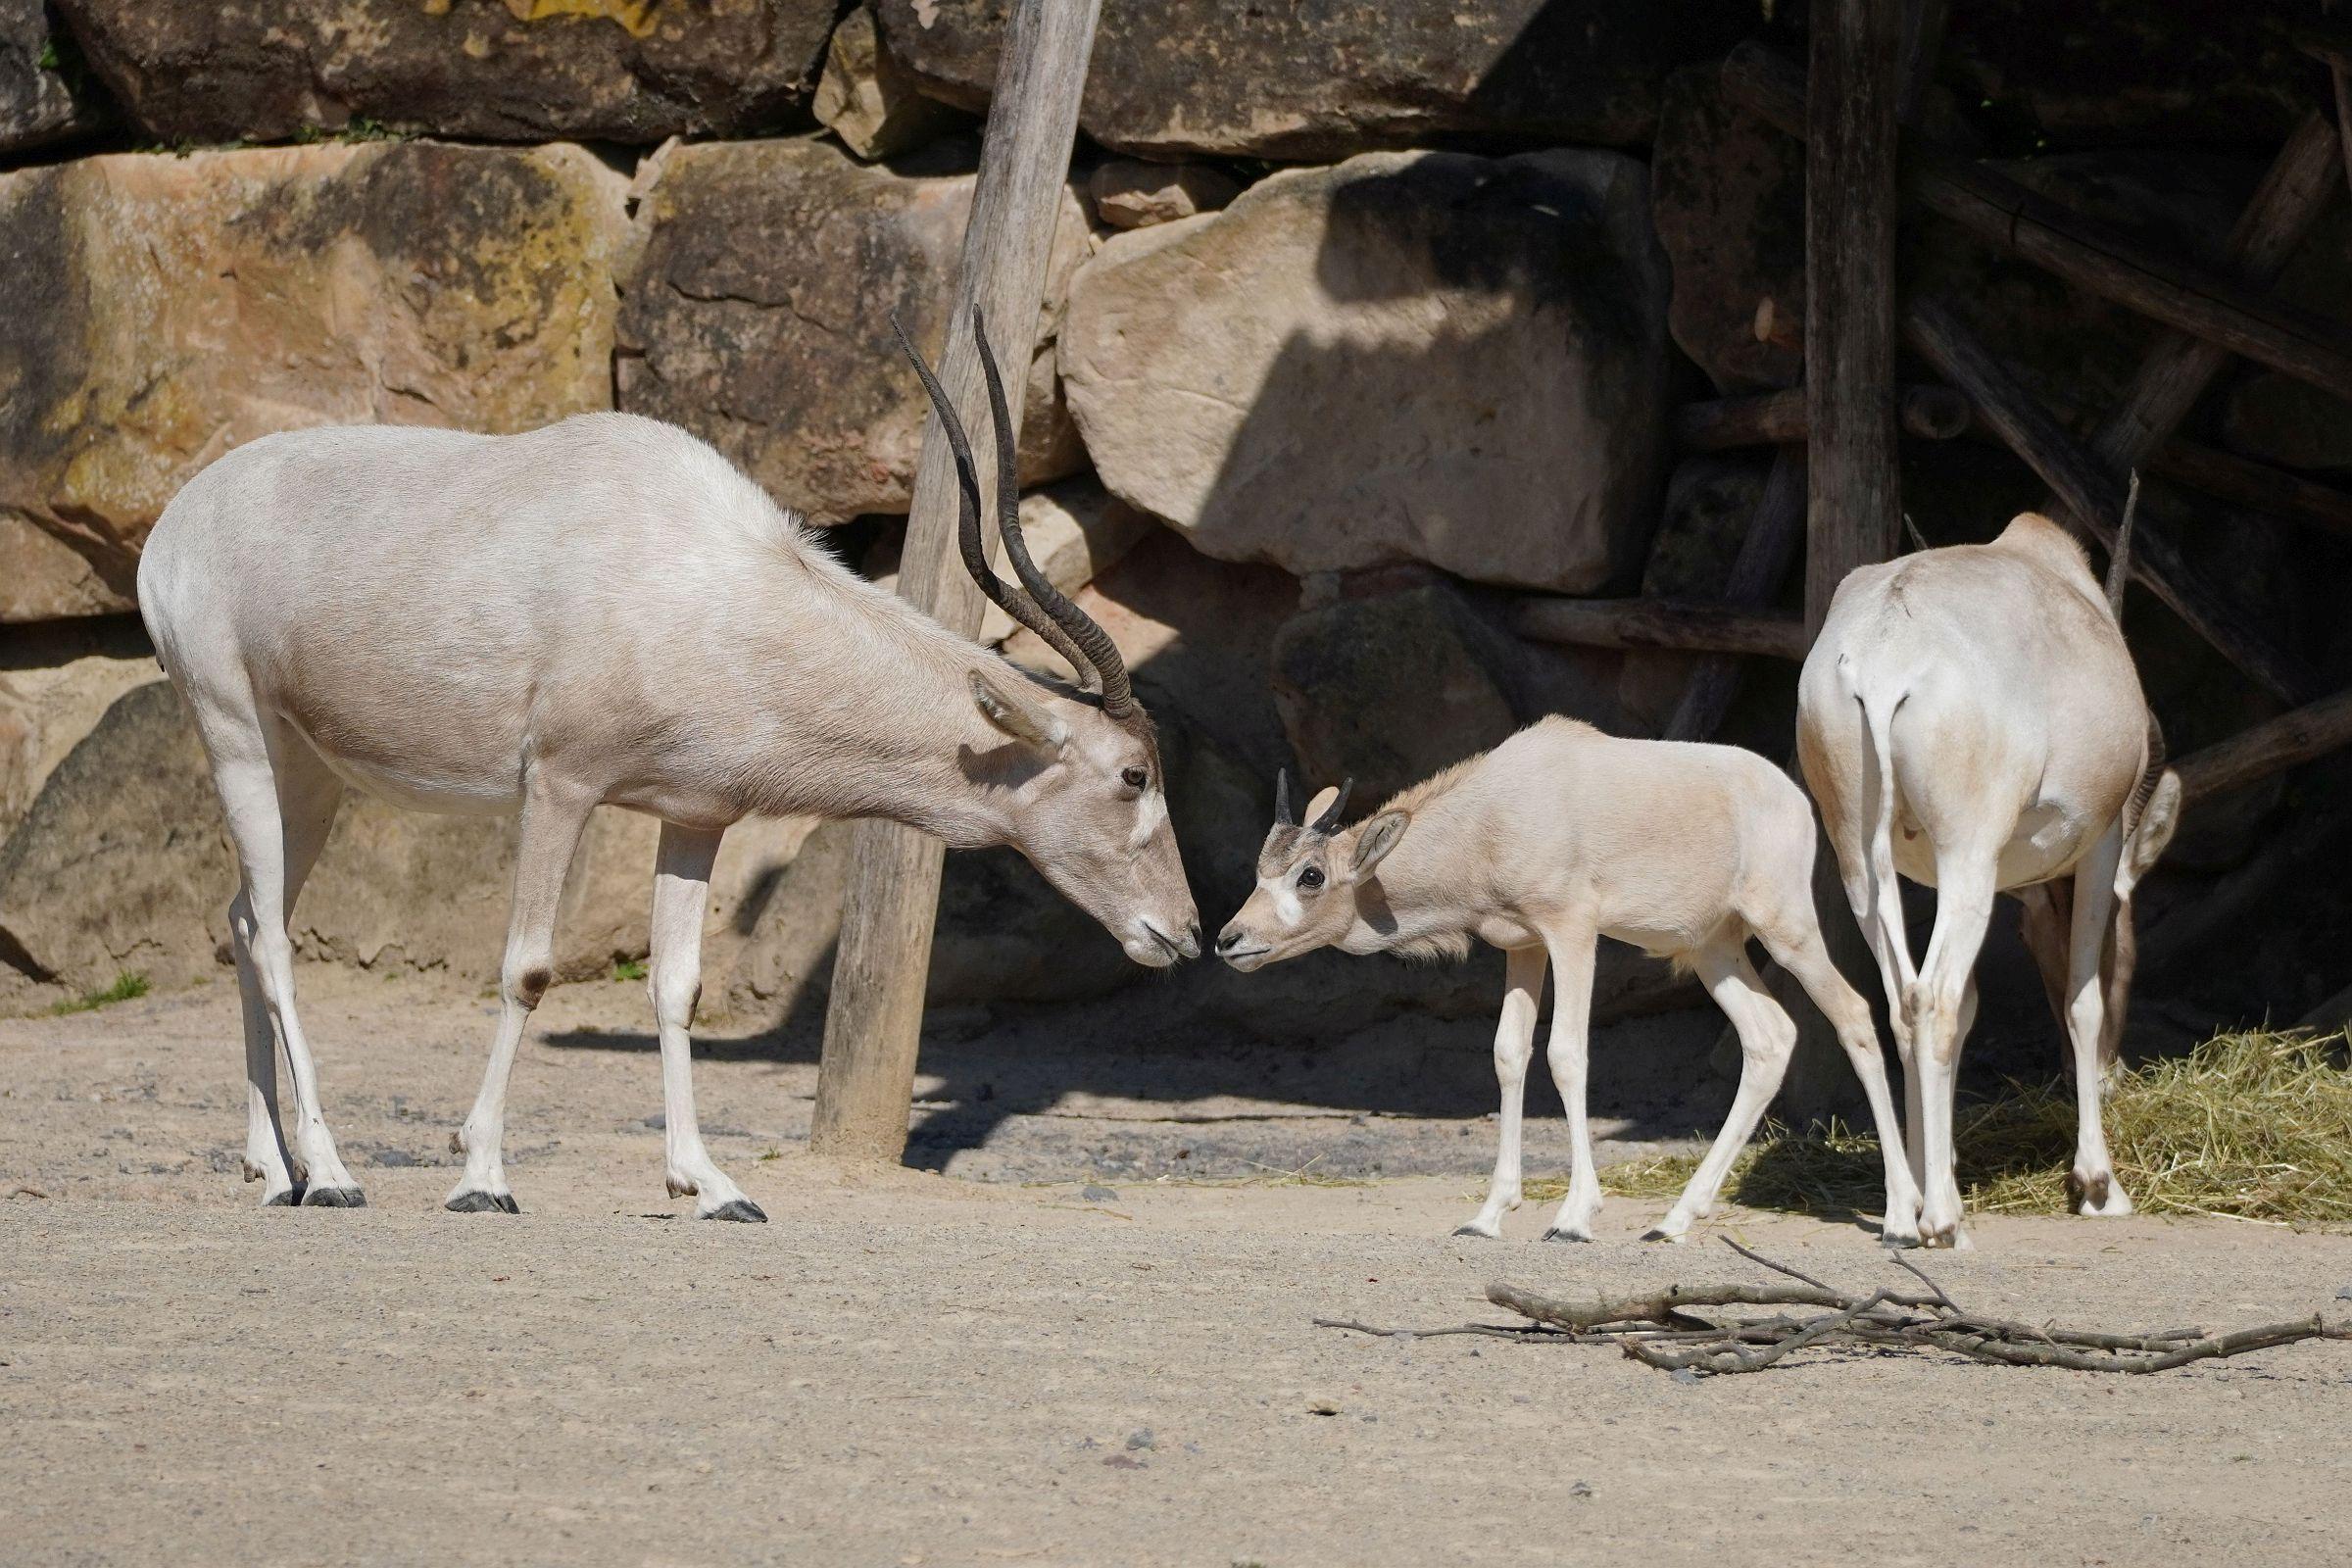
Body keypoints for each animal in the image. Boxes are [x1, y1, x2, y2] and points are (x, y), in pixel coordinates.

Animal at [137, 313, 1195, 1222]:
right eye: (1134, 776)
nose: (1181, 933)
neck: (711, 579)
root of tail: (175, 521)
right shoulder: (559, 784)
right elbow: (527, 968)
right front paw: (482, 1175)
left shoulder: (695, 816)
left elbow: (677, 986)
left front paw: (711, 1184)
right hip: (233, 732)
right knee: (274, 937)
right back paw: (331, 1172)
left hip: (309, 773)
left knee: (245, 918)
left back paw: (274, 1168)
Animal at [1223, 723, 1919, 1250]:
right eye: (1261, 870)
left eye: (1310, 876)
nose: (1230, 939)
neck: (1494, 814)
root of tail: (1789, 796)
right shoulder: (1523, 946)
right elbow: (1509, 1054)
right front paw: (1487, 1216)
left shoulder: (1572, 931)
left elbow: (1566, 1054)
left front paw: (1574, 1217)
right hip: (1711, 948)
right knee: (1769, 1037)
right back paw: (1673, 1221)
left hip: (1786, 927)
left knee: (1854, 1014)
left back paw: (1902, 1220)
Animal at [1796, 493, 2182, 1250]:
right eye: (2130, 947)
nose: (2113, 1076)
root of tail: (1884, 656)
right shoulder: (2100, 844)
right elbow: (2081, 1002)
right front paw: (2099, 1186)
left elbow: (1972, 1004)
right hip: (1967, 855)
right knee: (1933, 998)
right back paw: (1944, 1222)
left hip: (1864, 860)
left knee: (1903, 1002)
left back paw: (1906, 1210)